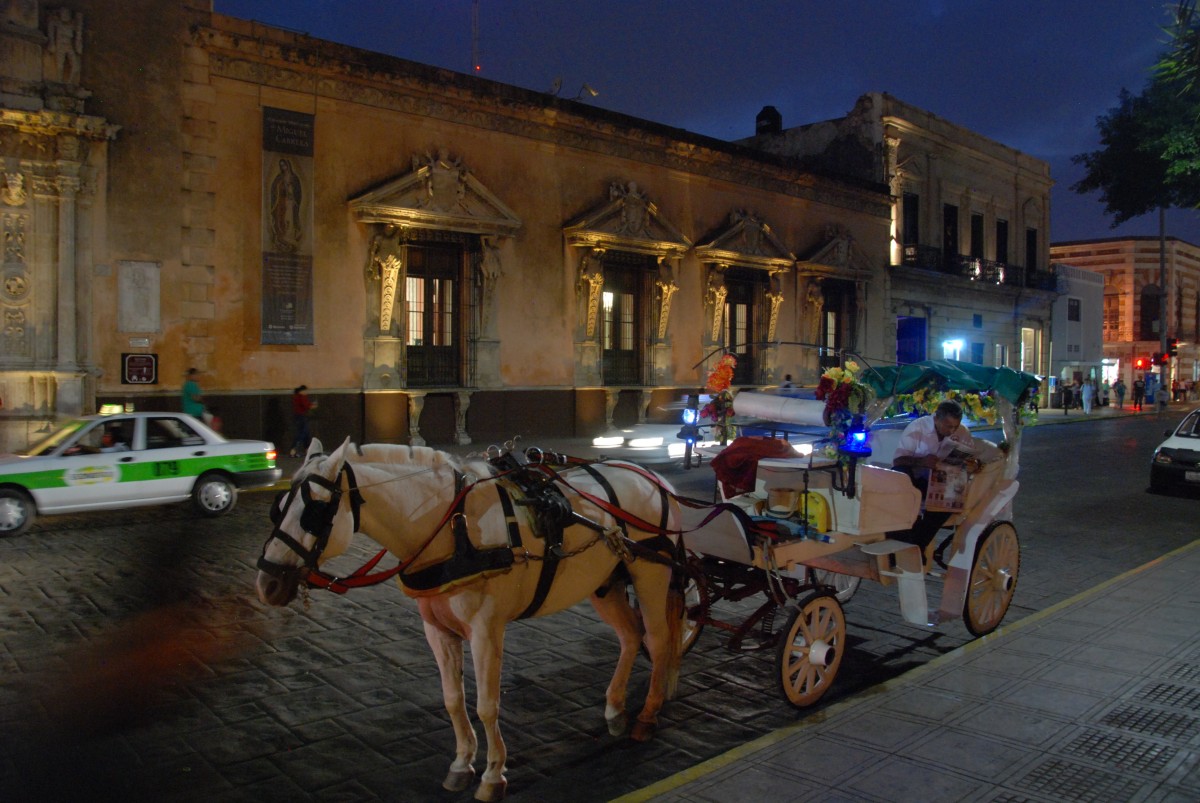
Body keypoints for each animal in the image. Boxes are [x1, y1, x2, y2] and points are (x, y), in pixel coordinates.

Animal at [253, 439, 686, 801]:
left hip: (651, 572)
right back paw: (614, 709)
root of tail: (655, 478)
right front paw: (462, 764)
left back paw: (647, 715)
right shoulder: (436, 630)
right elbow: (453, 699)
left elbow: (487, 705)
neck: (450, 527)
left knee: (659, 640)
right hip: (605, 583)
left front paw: (494, 775)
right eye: (277, 509)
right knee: (630, 636)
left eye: (315, 510)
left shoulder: (485, 630)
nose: (267, 583)